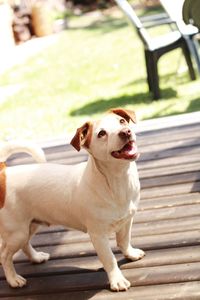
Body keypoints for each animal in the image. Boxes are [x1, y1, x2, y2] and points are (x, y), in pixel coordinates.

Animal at [0, 108, 145, 290]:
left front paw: (130, 254)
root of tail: (4, 173)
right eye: (101, 134)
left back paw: (36, 257)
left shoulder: (127, 222)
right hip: (16, 232)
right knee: (5, 255)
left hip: (30, 225)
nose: (125, 132)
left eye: (122, 122)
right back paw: (13, 279)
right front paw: (117, 280)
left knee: (24, 244)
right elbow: (109, 259)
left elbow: (124, 241)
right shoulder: (98, 235)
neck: (118, 180)